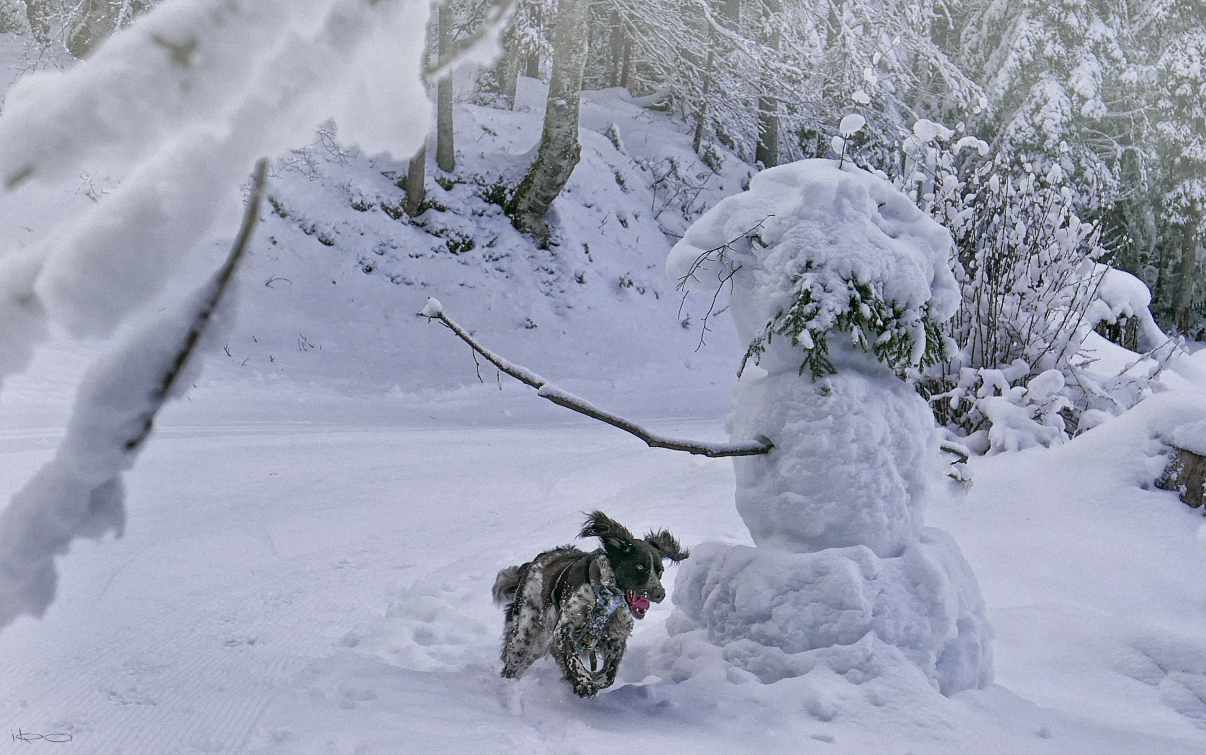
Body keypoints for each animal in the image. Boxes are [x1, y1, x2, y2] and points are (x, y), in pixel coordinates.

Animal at [492, 508, 689, 694]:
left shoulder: (616, 636)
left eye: (660, 570)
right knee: (512, 663)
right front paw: (583, 683)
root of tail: (535, 561)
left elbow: (609, 675)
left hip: (538, 644)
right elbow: (571, 657)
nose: (660, 593)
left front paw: (594, 679)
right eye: (640, 566)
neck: (605, 595)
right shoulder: (564, 627)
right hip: (524, 632)